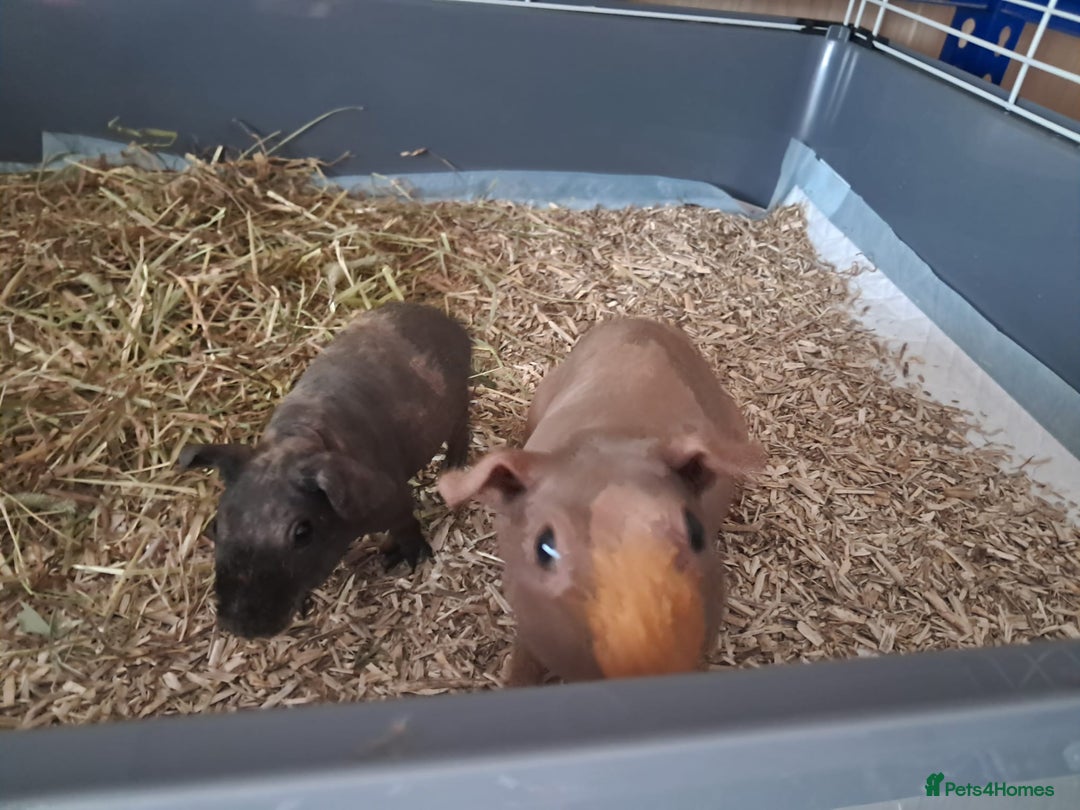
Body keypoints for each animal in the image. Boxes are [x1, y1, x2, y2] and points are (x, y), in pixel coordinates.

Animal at [177, 301, 472, 639]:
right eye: (215, 526)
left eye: (302, 532)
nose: (241, 628)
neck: (292, 444)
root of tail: (446, 320)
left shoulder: (392, 499)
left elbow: (405, 526)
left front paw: (407, 560)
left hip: (458, 402)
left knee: (462, 427)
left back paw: (452, 466)